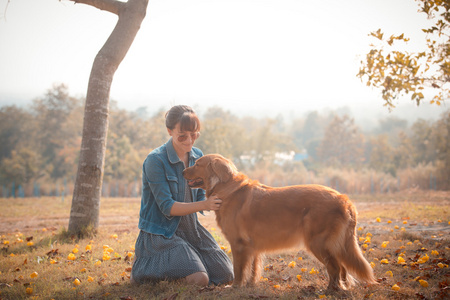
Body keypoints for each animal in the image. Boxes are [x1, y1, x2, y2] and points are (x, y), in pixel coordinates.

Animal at [183, 155, 376, 290]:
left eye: (197, 164)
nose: (183, 170)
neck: (226, 189)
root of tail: (344, 199)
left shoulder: (238, 244)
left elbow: (238, 269)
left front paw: (235, 286)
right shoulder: (252, 247)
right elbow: (253, 270)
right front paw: (250, 285)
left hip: (318, 243)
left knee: (335, 268)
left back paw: (329, 290)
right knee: (342, 268)